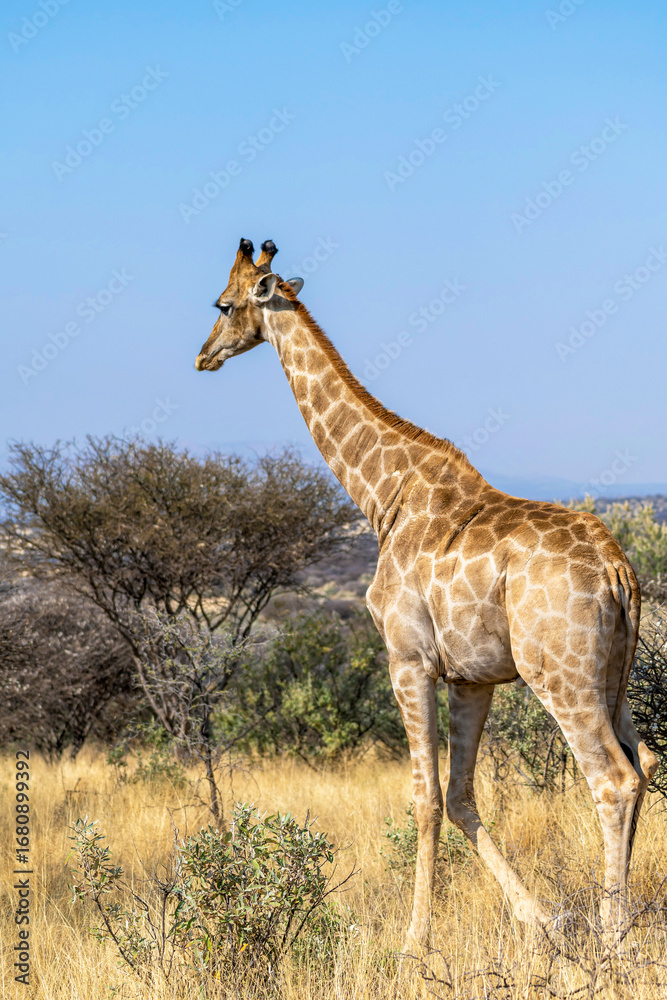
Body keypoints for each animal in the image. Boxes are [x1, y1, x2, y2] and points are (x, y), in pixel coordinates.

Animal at [195, 237, 658, 949]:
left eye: (223, 303)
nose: (203, 355)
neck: (382, 496)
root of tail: (618, 569)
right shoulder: (471, 676)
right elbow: (463, 795)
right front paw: (541, 920)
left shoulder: (408, 659)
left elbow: (426, 797)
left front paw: (415, 940)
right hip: (613, 673)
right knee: (647, 760)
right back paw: (617, 921)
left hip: (561, 673)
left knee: (613, 777)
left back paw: (613, 935)